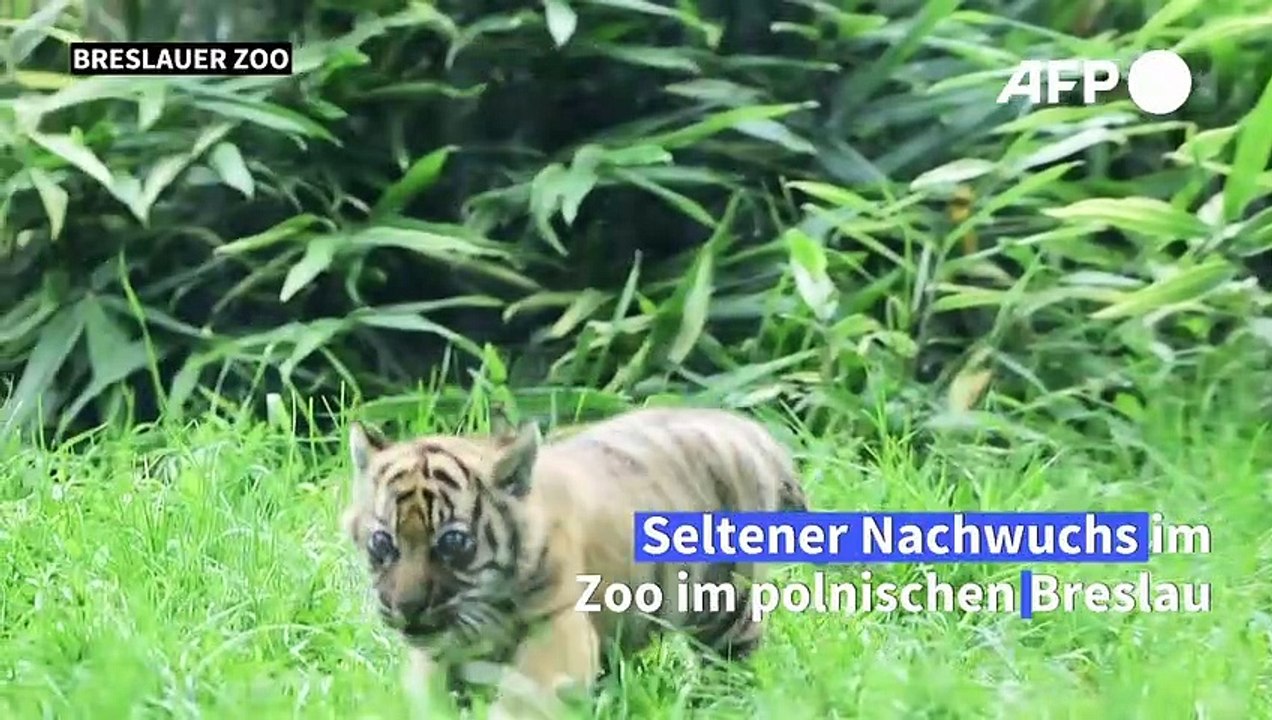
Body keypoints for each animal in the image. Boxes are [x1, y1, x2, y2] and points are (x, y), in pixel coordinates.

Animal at [341, 406, 808, 719]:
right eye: (382, 542)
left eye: (453, 542)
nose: (405, 607)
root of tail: (749, 429)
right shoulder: (438, 655)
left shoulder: (556, 629)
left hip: (725, 601)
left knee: (731, 658)